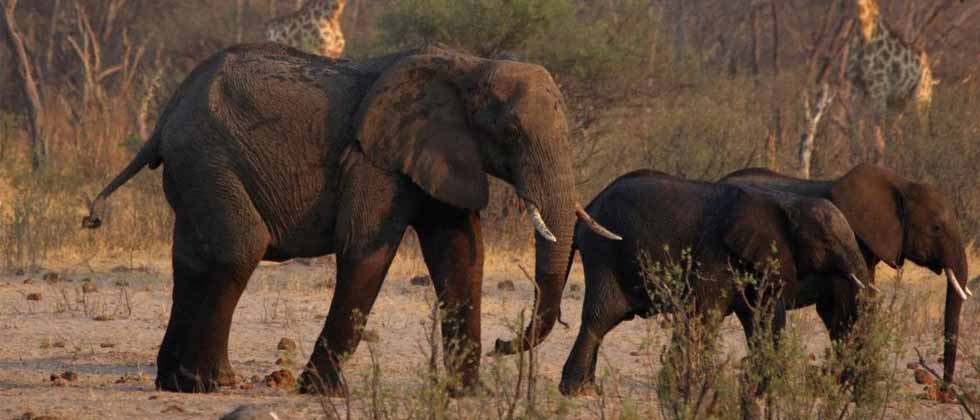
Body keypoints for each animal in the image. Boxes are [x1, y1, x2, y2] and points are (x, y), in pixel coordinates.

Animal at [81, 43, 620, 394]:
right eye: (510, 131)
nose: (507, 343)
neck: (470, 64)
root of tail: (165, 116)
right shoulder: (374, 160)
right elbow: (367, 251)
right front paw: (319, 393)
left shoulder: (440, 153)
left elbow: (462, 255)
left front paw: (468, 395)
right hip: (207, 159)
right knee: (238, 250)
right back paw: (213, 385)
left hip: (195, 169)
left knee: (192, 260)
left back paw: (173, 383)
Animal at [557, 170, 872, 396]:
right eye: (828, 242)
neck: (785, 201)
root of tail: (586, 206)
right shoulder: (716, 254)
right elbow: (705, 315)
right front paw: (688, 390)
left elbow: (764, 317)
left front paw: (765, 388)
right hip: (604, 252)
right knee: (601, 317)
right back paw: (577, 392)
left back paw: (585, 389)